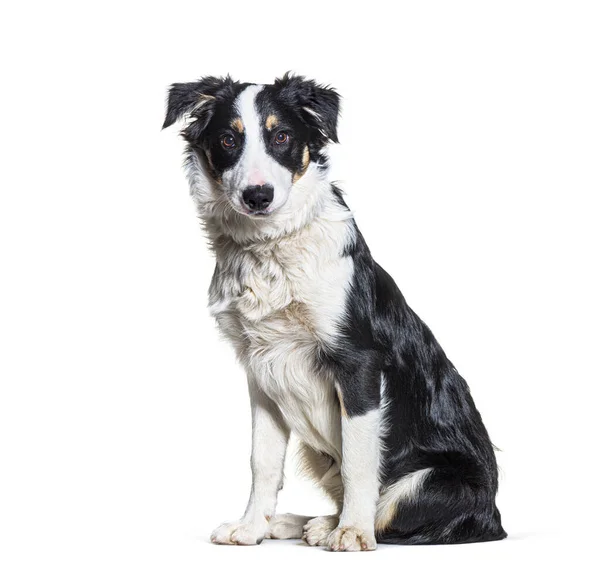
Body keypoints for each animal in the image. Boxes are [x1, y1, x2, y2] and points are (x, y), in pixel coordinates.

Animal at [163, 74, 506, 552]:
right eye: (228, 139)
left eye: (282, 137)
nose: (257, 196)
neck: (271, 247)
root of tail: (495, 515)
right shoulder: (260, 371)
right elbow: (261, 460)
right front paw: (251, 527)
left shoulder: (358, 363)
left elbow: (359, 461)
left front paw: (353, 531)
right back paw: (299, 522)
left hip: (432, 480)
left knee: (392, 514)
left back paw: (333, 526)